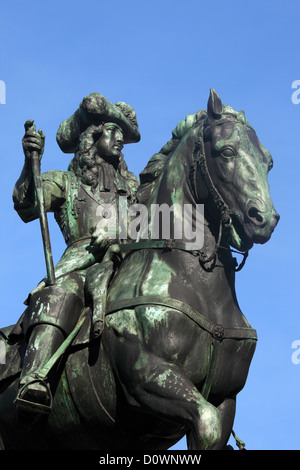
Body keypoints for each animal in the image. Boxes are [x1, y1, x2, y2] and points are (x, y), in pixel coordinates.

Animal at [0, 90, 278, 450]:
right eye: (226, 151)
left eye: (268, 161)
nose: (264, 219)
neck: (195, 283)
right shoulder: (147, 377)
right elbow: (31, 203)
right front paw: (31, 143)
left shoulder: (224, 398)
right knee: (58, 295)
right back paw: (33, 386)